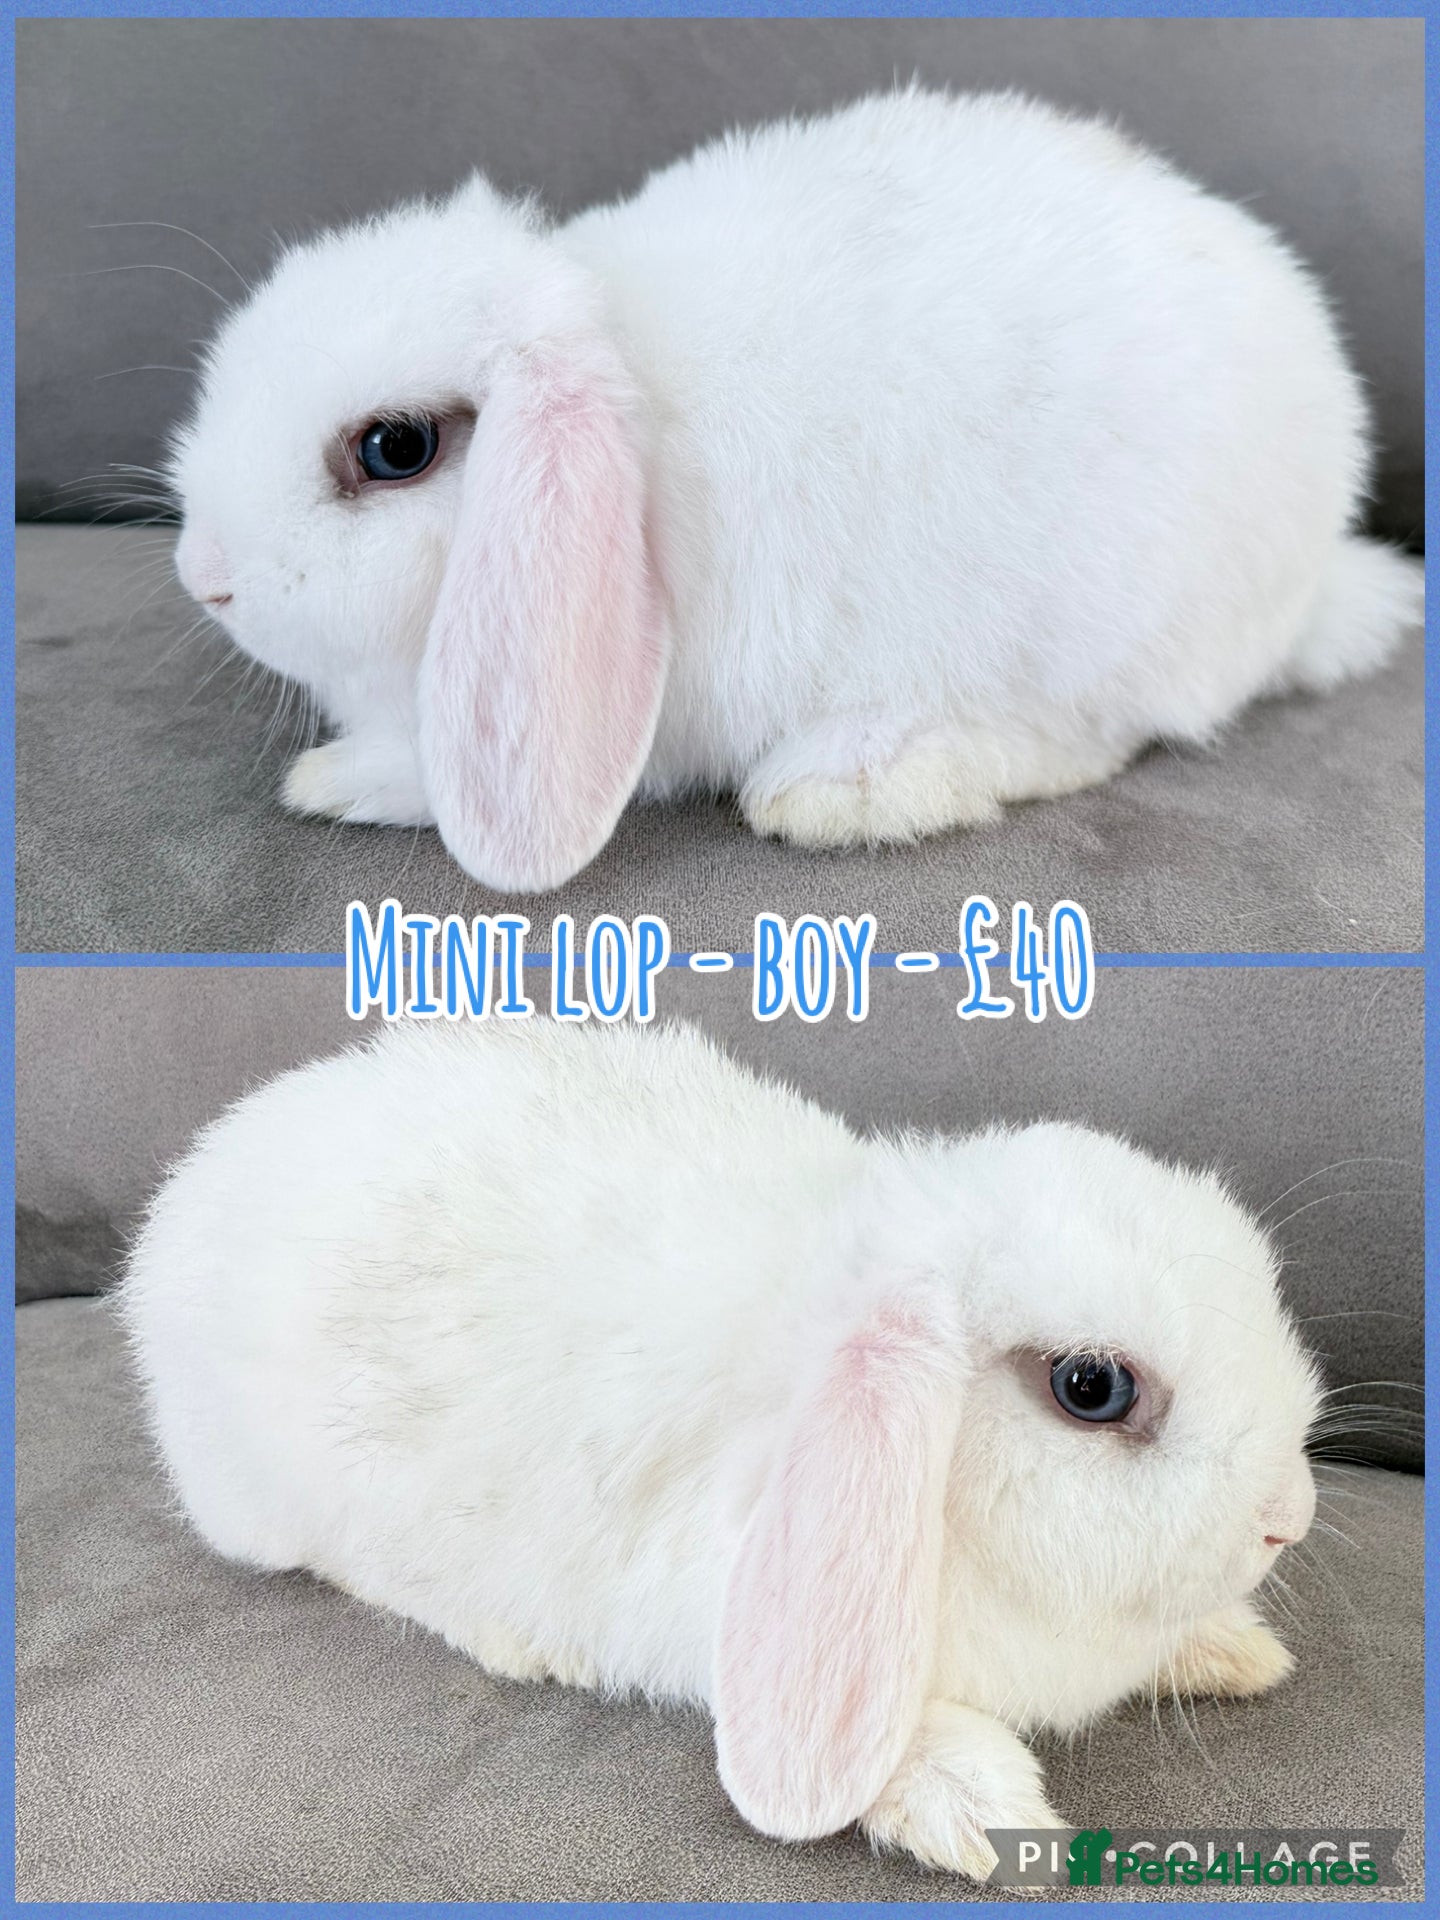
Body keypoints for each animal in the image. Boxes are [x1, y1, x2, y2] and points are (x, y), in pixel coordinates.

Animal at [121, 1017, 1320, 1878]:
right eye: (1092, 1388)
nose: (1290, 1518)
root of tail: (195, 1187)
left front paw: (1234, 1650)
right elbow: (887, 1741)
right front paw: (978, 1813)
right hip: (288, 1503)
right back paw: (517, 1642)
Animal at [167, 89, 1422, 893]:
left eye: (394, 448)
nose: (204, 577)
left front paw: (335, 780)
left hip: (1096, 624)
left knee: (1089, 738)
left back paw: (847, 784)